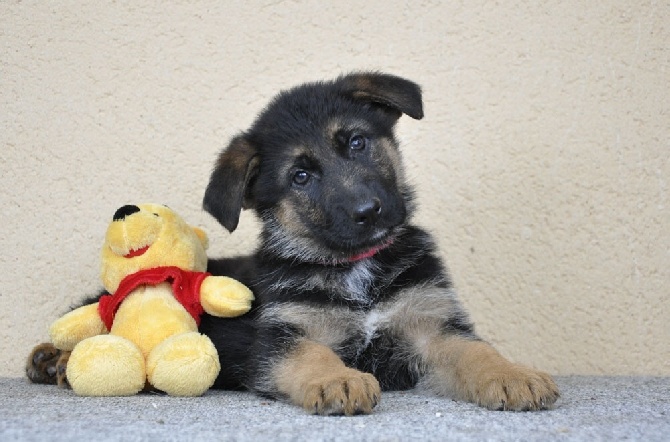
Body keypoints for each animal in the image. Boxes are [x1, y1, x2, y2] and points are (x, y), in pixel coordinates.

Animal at [27, 72, 560, 414]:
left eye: (357, 143)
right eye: (300, 177)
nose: (369, 212)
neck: (355, 269)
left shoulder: (432, 324)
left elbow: (477, 352)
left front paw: (514, 375)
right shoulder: (281, 338)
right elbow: (312, 355)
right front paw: (338, 379)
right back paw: (53, 360)